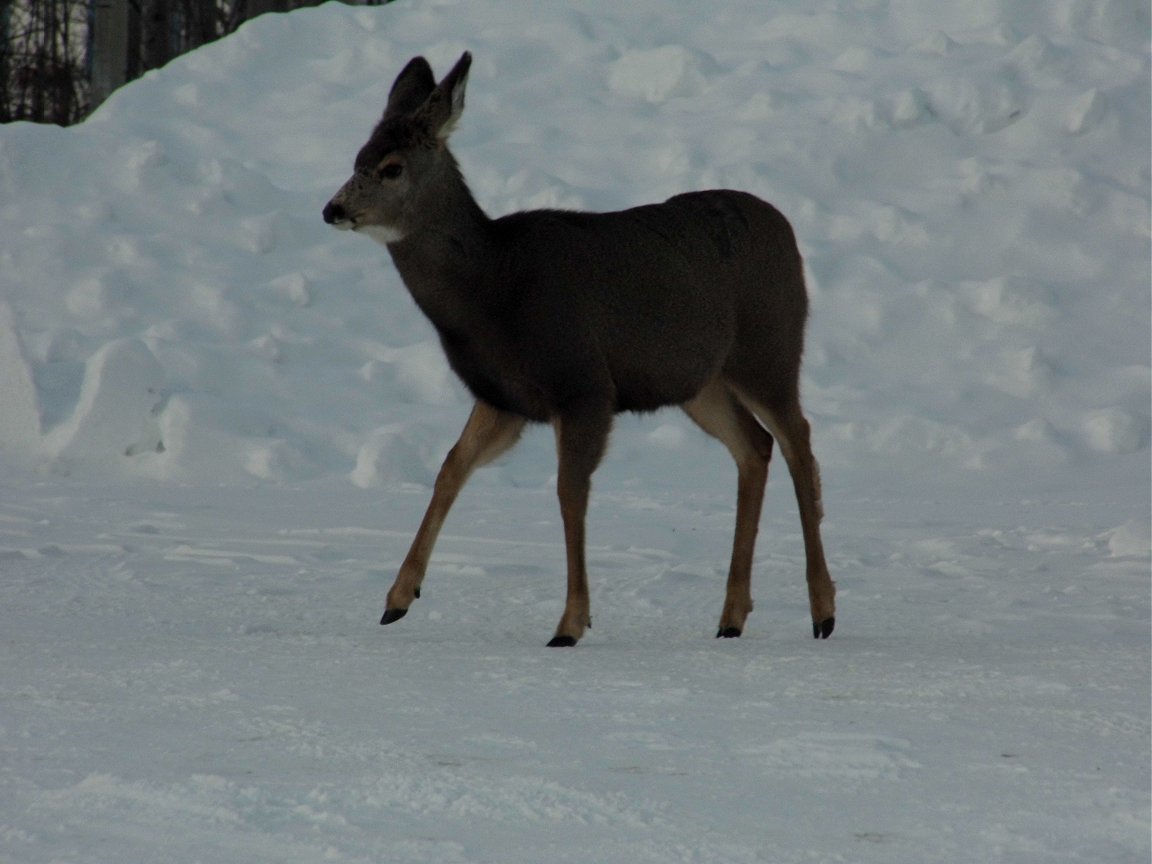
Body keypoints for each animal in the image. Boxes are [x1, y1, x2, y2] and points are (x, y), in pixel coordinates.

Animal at [320, 50, 834, 645]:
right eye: (357, 157)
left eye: (391, 167)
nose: (332, 209)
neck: (493, 289)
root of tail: (788, 232)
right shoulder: (504, 397)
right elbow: (451, 467)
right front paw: (397, 599)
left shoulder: (583, 385)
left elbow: (569, 492)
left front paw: (570, 623)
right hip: (699, 382)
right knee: (755, 446)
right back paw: (732, 617)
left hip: (769, 349)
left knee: (799, 442)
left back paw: (823, 610)